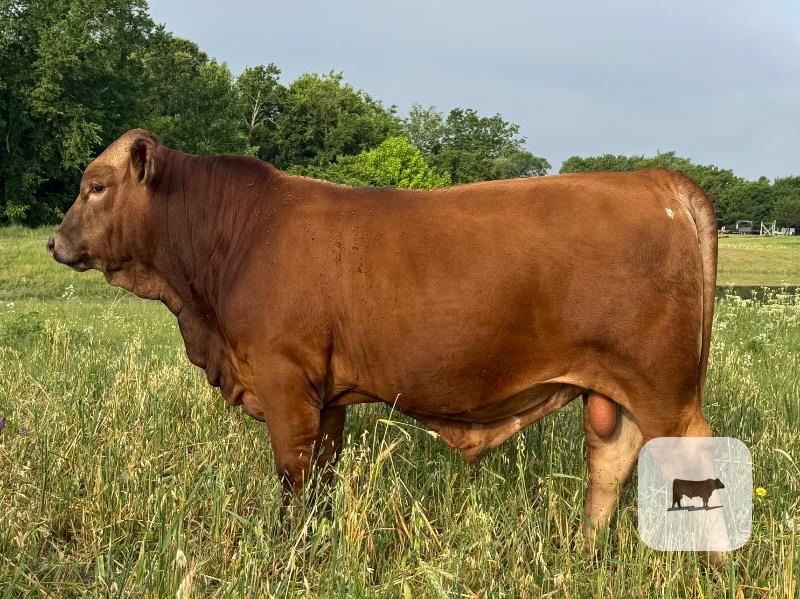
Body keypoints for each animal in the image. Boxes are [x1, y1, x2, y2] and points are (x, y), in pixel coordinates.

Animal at [49, 129, 718, 558]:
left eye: (96, 185)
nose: (55, 243)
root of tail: (658, 182)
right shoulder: (325, 396)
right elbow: (320, 474)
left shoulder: (283, 378)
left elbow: (292, 474)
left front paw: (288, 552)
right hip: (617, 391)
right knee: (610, 462)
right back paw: (583, 553)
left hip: (664, 388)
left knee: (694, 459)